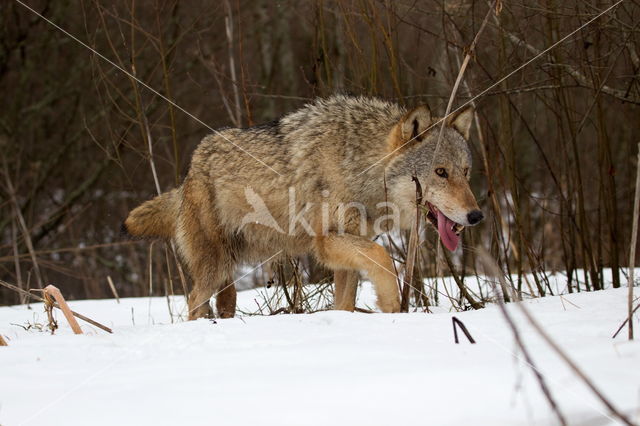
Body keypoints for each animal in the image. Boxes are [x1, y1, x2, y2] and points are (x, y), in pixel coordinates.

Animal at [122, 95, 482, 318]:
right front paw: (392, 304)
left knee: (221, 304)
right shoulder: (326, 242)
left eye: (465, 172)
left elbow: (345, 301)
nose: (476, 216)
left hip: (228, 274)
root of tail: (190, 172)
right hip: (214, 268)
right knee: (194, 302)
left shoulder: (346, 252)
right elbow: (383, 258)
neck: (358, 164)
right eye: (440, 172)